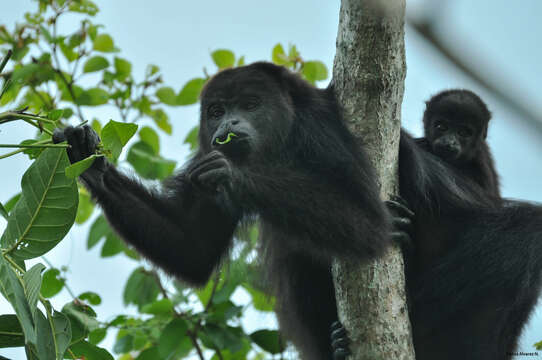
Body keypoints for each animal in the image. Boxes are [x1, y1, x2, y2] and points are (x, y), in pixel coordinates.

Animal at [54, 62, 408, 360]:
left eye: (251, 104)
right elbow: (192, 249)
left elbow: (369, 226)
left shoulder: (321, 130)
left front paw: (231, 174)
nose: (228, 123)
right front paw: (89, 161)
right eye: (216, 110)